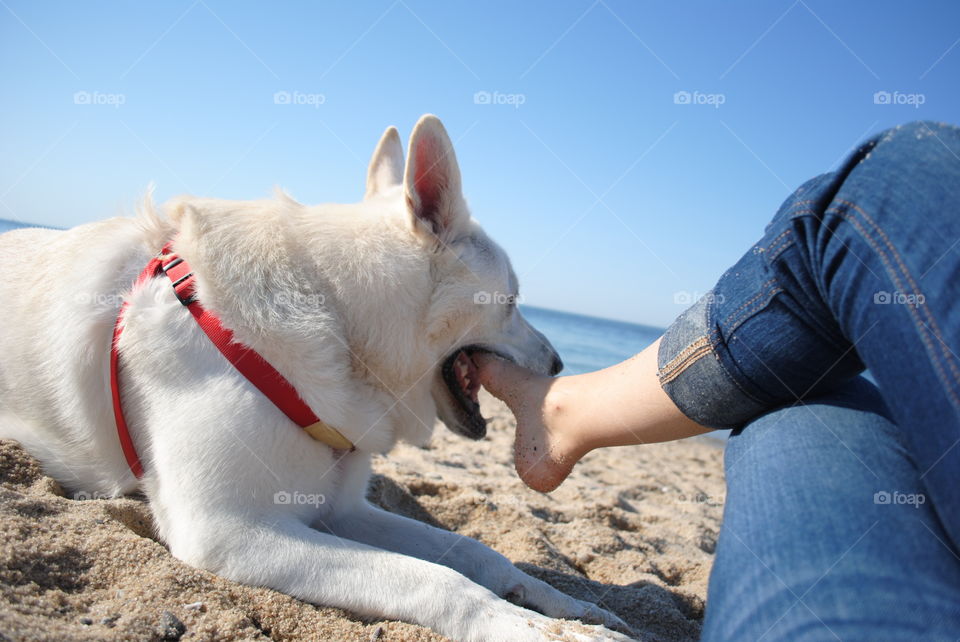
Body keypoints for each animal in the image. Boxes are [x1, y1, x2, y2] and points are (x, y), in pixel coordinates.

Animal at [0, 116, 632, 640]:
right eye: (513, 301)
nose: (558, 364)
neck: (339, 315)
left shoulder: (343, 511)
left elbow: (477, 552)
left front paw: (566, 608)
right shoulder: (227, 528)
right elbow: (434, 579)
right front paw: (531, 629)